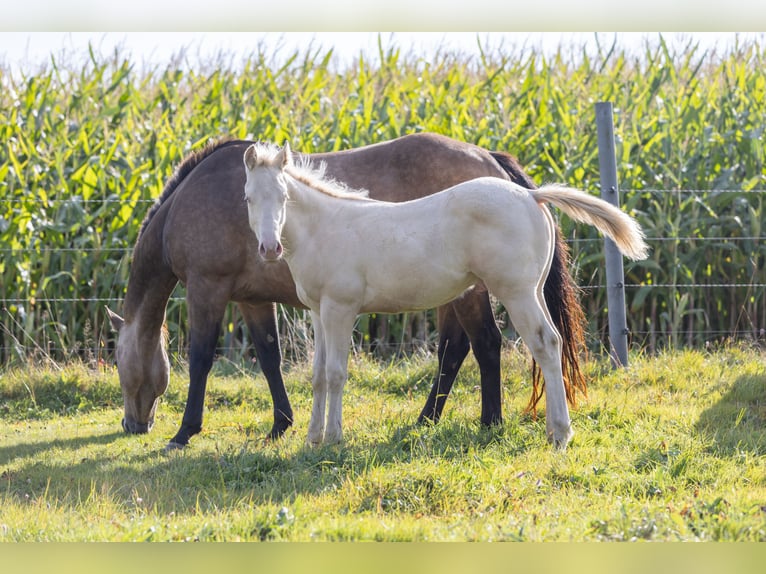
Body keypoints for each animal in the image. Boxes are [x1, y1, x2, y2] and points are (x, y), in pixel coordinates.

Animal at [108, 133, 588, 452]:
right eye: (245, 199)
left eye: (120, 361)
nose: (133, 424)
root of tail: (522, 188)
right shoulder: (267, 301)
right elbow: (281, 360)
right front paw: (289, 428)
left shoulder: (211, 288)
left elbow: (203, 358)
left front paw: (184, 432)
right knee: (463, 348)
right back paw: (434, 420)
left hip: (504, 293)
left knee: (511, 344)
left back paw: (527, 428)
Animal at [244, 143, 648, 450]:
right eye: (248, 198)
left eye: (283, 197)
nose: (269, 248)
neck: (325, 227)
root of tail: (531, 195)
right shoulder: (318, 312)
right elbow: (316, 376)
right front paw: (313, 439)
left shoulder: (341, 310)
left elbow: (335, 374)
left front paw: (333, 438)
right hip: (531, 291)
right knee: (553, 342)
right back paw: (551, 428)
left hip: (516, 292)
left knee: (545, 344)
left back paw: (560, 435)